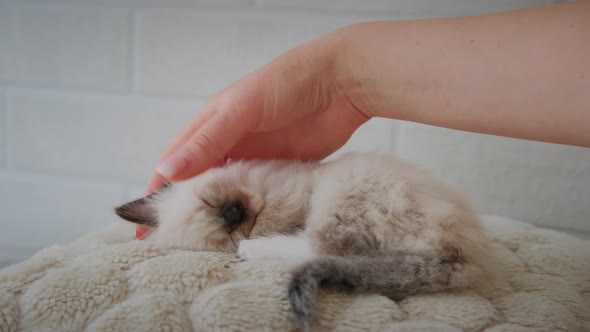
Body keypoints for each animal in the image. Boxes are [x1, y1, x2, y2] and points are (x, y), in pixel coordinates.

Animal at [115, 152, 494, 330]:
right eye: (226, 232)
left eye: (210, 201)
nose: (233, 216)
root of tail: (461, 263)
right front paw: (250, 239)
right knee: (326, 249)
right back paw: (252, 249)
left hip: (344, 187)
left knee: (326, 248)